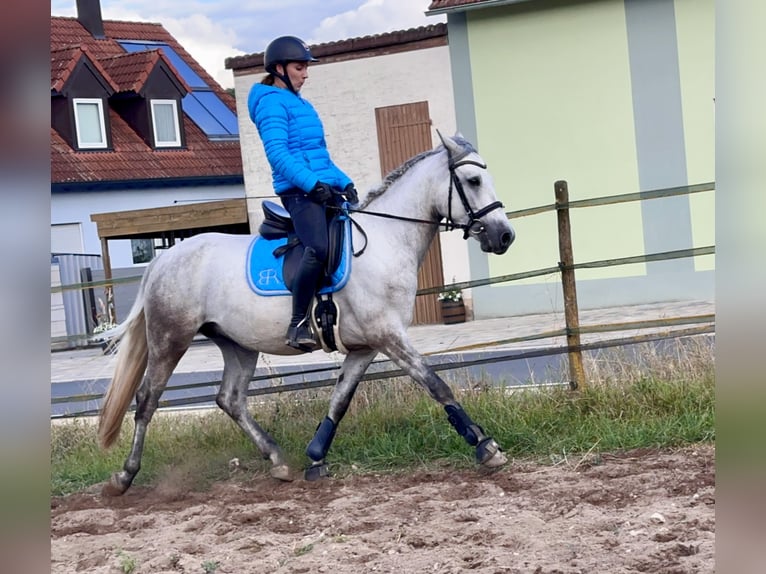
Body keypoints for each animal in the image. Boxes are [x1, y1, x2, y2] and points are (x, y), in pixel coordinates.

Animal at [96, 133, 516, 498]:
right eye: (473, 180)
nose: (504, 236)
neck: (385, 240)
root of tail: (164, 258)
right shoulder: (388, 335)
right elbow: (436, 384)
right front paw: (485, 446)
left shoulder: (365, 346)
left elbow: (340, 400)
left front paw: (315, 459)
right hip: (170, 339)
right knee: (147, 400)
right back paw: (124, 476)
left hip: (237, 344)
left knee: (230, 399)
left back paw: (278, 460)